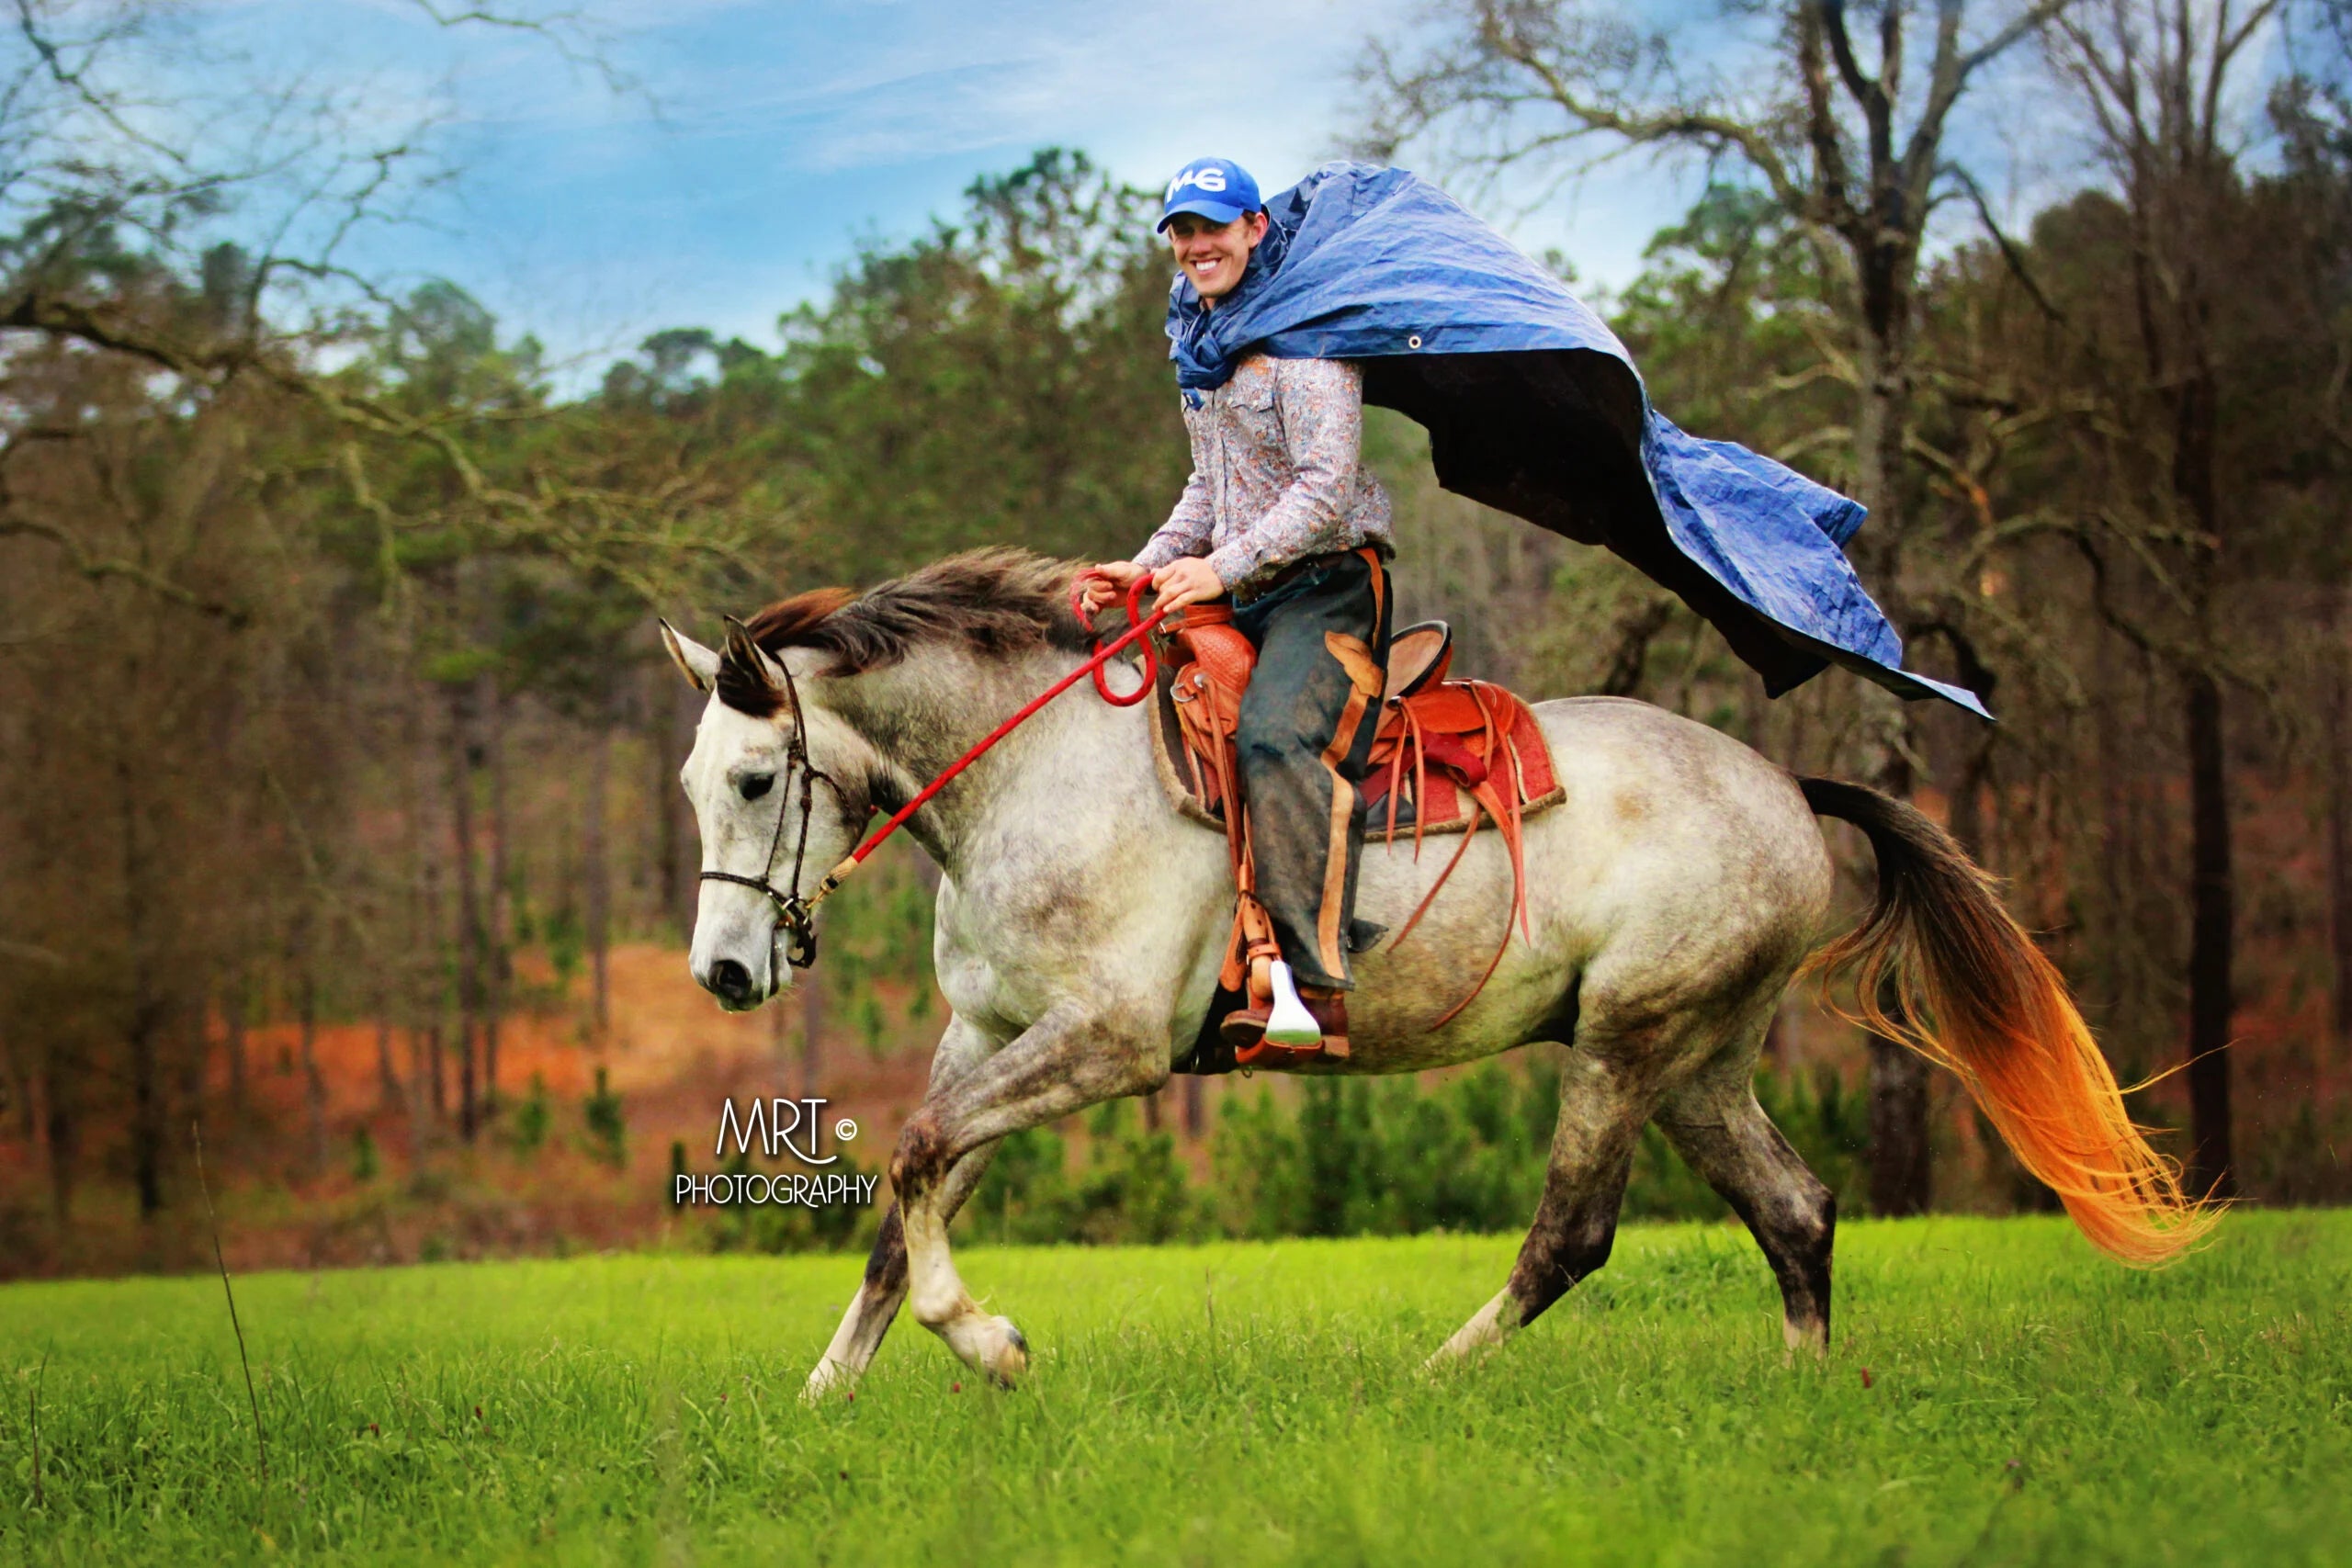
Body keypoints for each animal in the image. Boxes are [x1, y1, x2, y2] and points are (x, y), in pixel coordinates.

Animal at [656, 549, 2208, 1397]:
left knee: (1573, 1234)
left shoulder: (1107, 1042)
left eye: (754, 777)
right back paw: (1802, 1387)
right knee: (1798, 1208)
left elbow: (918, 1159)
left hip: (1627, 1045)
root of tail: (1781, 783)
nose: (722, 973)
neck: (1036, 769)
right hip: (1701, 1062)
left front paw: (990, 1342)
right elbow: (903, 1197)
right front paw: (827, 1390)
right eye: (689, 786)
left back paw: (1434, 1374)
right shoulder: (988, 1031)